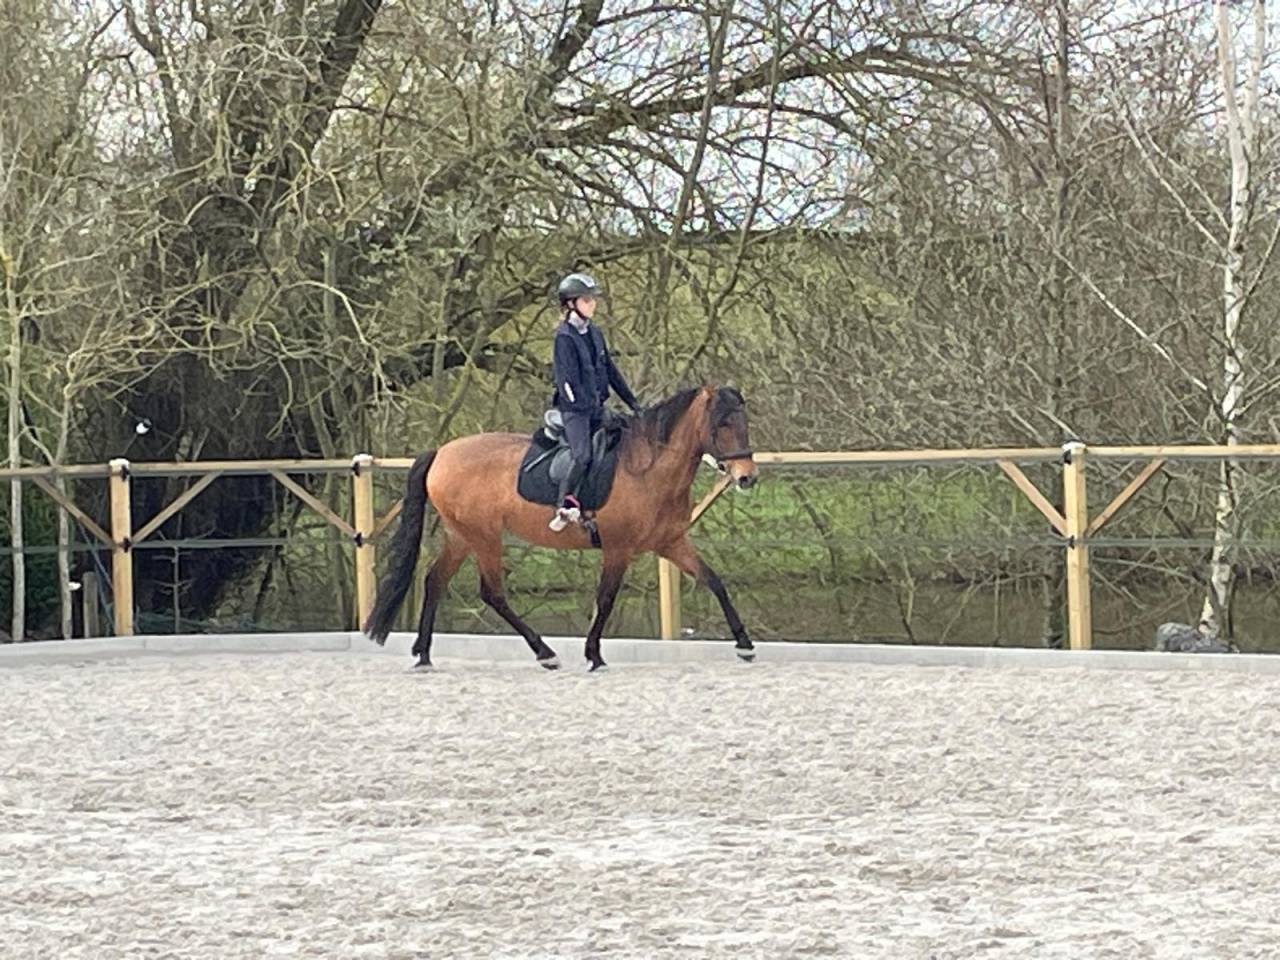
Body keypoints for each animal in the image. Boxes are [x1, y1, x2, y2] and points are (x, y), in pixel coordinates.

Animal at [362, 384, 759, 671]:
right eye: (722, 424)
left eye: (743, 423)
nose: (747, 478)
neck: (648, 469)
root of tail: (441, 452)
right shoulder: (618, 548)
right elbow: (605, 599)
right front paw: (594, 654)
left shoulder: (671, 543)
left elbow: (715, 582)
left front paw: (745, 645)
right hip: (484, 536)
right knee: (492, 593)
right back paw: (544, 653)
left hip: (461, 536)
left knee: (435, 581)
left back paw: (424, 654)